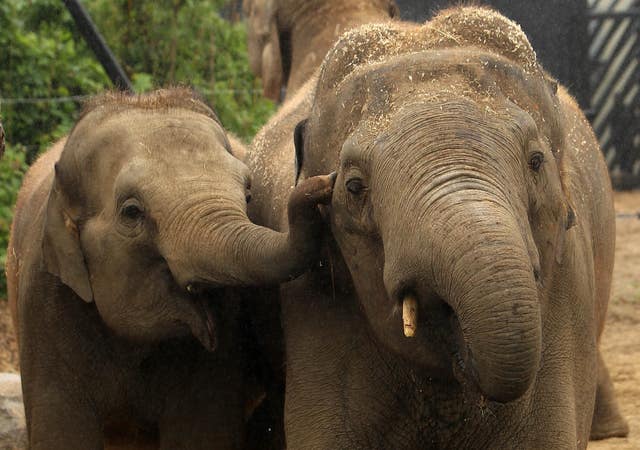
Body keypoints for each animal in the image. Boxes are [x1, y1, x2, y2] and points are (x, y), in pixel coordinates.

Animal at [5, 88, 334, 449]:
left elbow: (201, 434)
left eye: (248, 195)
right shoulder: (44, 306)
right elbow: (59, 434)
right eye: (131, 212)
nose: (326, 182)